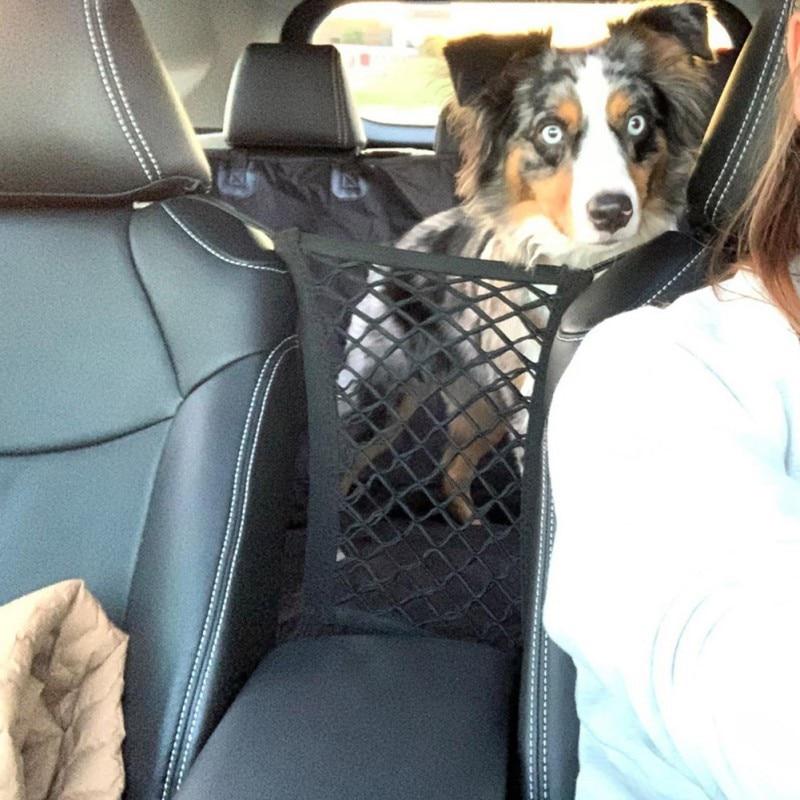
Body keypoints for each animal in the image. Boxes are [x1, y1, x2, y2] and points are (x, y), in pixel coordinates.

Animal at [338, 1, 712, 524]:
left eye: (636, 123)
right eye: (551, 130)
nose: (612, 211)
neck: (582, 266)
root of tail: (405, 238)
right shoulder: (532, 408)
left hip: (481, 400)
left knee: (453, 462)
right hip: (378, 386)